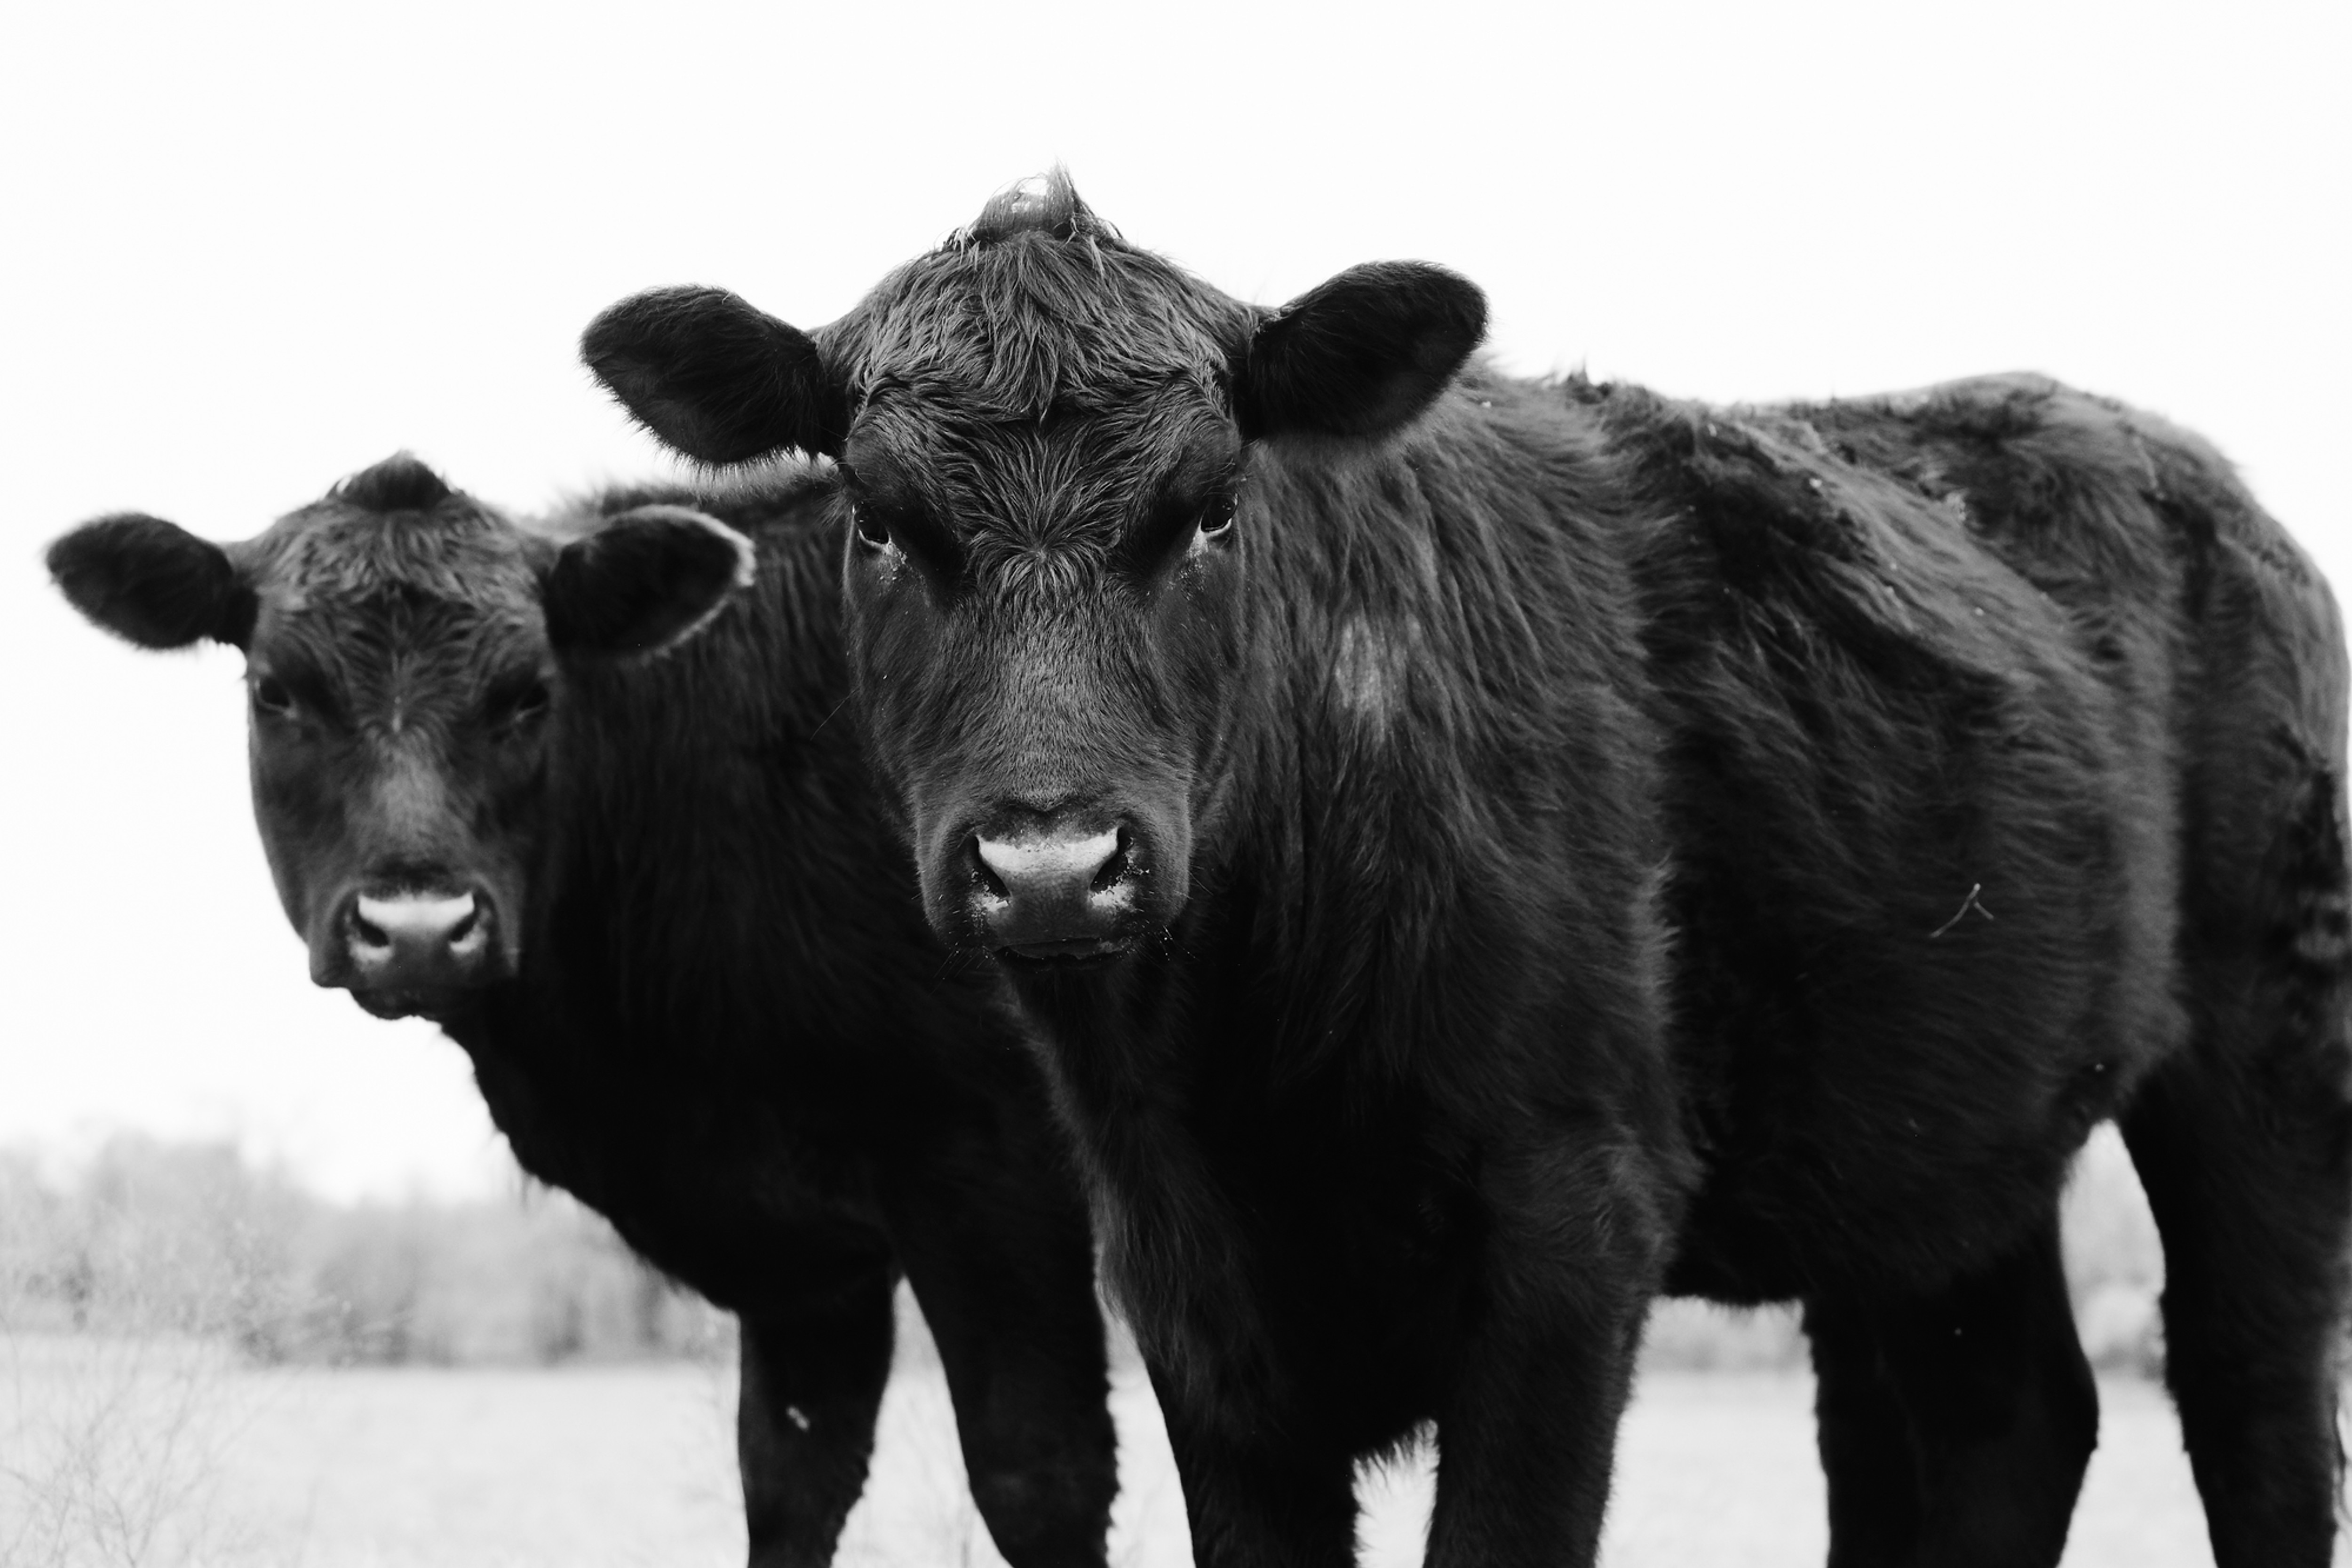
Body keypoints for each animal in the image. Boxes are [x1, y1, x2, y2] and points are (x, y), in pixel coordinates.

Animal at [46, 454, 1119, 1568]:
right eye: (276, 691)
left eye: (530, 693)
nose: (418, 927)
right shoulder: (806, 1262)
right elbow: (791, 1477)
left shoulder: (989, 1162)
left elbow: (1037, 1475)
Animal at [581, 173, 2352, 1568]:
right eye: (880, 523)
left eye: (1211, 510)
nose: (1054, 864)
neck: (1239, 1063)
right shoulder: (1186, 1286)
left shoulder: (1573, 1217)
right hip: (1942, 1144)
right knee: (2009, 1418)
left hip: (2264, 1055)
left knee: (2250, 1405)